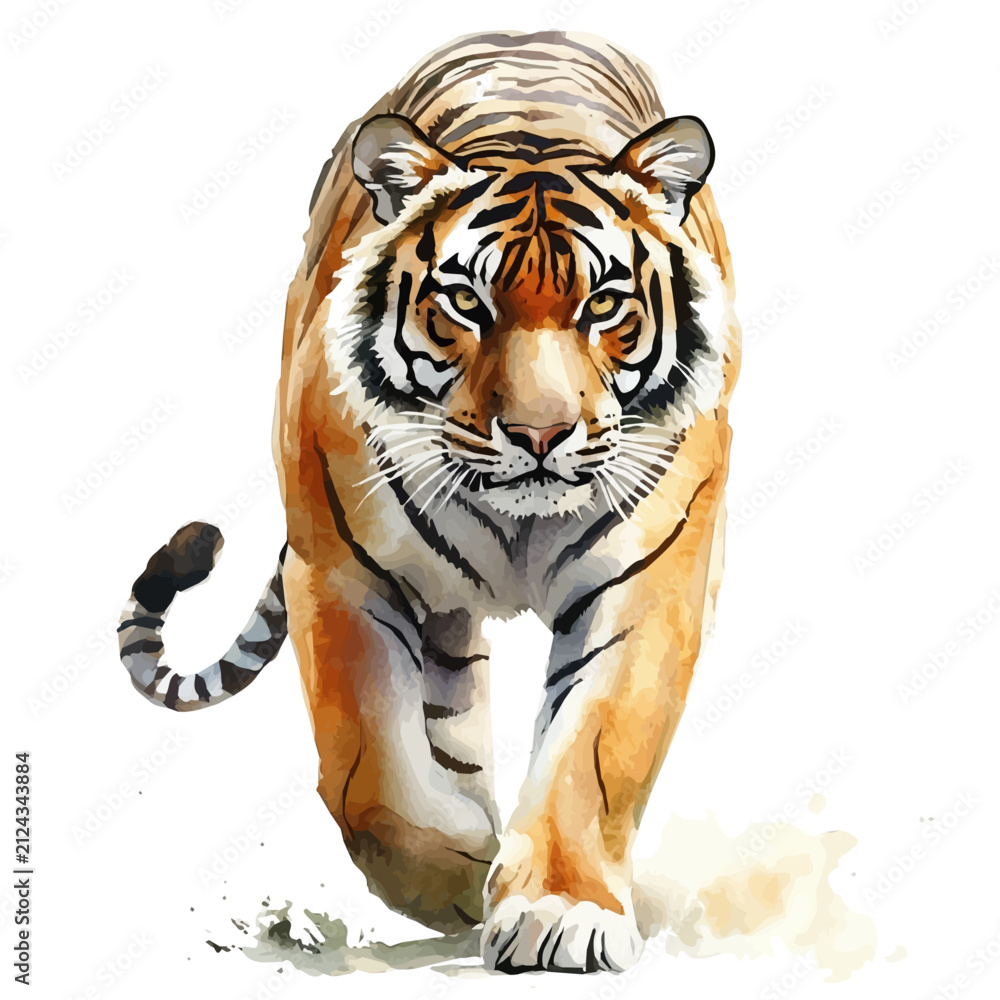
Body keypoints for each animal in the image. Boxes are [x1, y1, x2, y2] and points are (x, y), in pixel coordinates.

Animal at [118, 30, 740, 973]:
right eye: (465, 302)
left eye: (603, 305)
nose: (538, 433)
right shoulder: (342, 575)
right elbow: (367, 774)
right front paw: (459, 873)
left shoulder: (650, 581)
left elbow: (595, 750)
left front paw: (557, 910)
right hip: (435, 612)